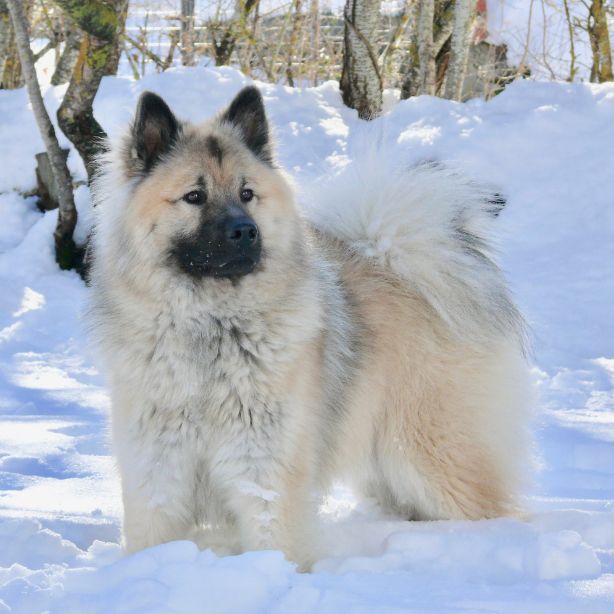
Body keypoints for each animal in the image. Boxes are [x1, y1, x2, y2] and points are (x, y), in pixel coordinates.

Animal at [88, 84, 536, 572]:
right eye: (194, 196)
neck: (212, 327)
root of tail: (396, 258)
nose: (245, 232)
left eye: (247, 193)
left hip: (435, 458)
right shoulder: (158, 472)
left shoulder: (265, 470)